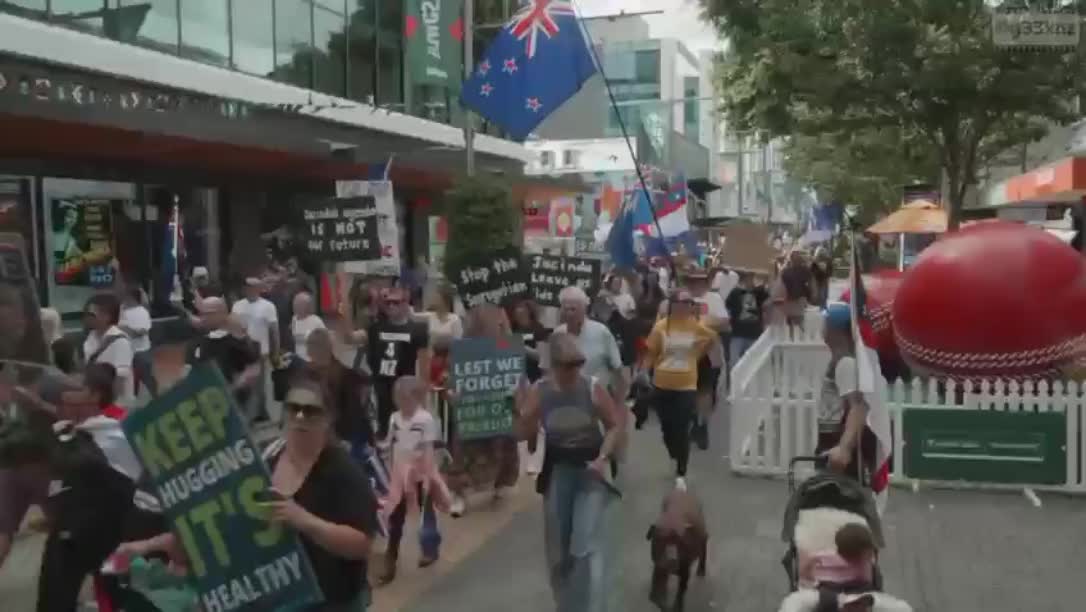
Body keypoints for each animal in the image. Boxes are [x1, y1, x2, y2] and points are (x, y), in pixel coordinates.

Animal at [647, 483, 708, 612]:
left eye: (680, 541)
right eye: (661, 539)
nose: (672, 559)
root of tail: (681, 491)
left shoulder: (684, 571)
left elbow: (680, 592)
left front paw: (676, 606)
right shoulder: (659, 567)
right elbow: (656, 597)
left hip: (703, 535)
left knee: (704, 545)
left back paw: (701, 569)